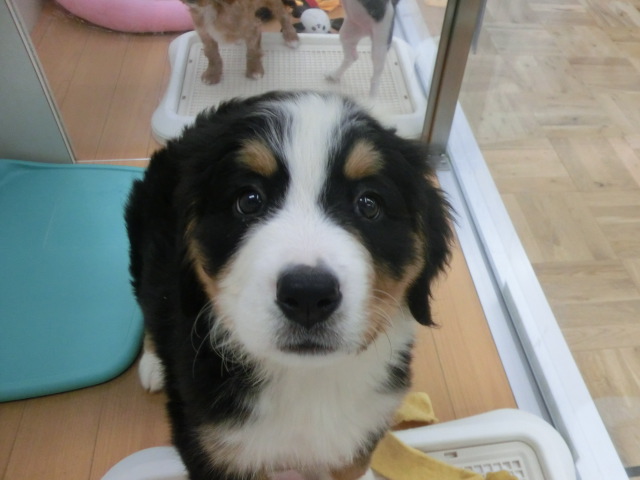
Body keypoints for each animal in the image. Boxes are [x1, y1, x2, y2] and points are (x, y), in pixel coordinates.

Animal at [126, 91, 452, 480]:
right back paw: (152, 365)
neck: (306, 380)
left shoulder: (361, 431)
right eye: (249, 201)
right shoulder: (210, 444)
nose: (308, 293)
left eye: (369, 204)